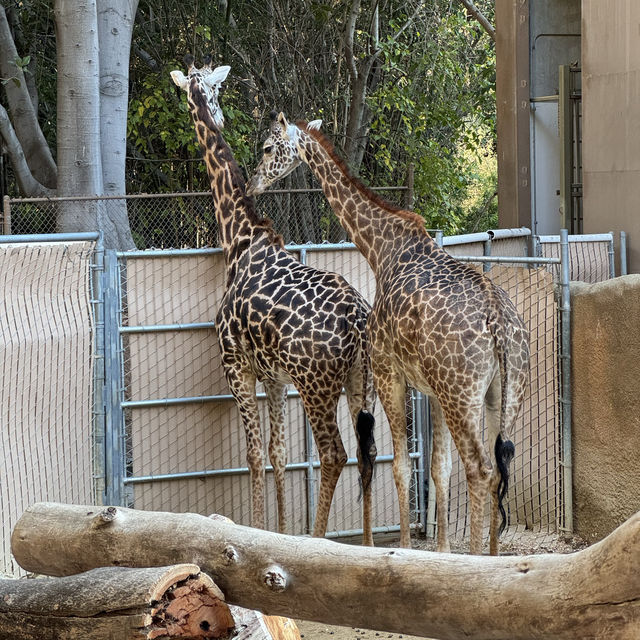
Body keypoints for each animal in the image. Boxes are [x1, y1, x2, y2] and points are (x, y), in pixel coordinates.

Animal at [171, 58, 380, 540]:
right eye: (214, 92)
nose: (219, 117)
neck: (239, 238)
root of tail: (358, 322)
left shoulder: (236, 366)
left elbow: (252, 454)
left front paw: (259, 530)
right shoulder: (275, 378)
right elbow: (278, 453)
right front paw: (280, 533)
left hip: (318, 386)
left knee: (335, 453)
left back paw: (320, 541)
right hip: (363, 383)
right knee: (369, 454)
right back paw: (369, 547)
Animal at [245, 111, 528, 556]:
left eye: (269, 147)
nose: (252, 183)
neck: (382, 250)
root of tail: (499, 325)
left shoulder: (388, 372)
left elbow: (399, 466)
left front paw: (408, 552)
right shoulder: (431, 390)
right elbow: (438, 467)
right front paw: (442, 553)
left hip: (463, 396)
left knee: (481, 469)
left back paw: (477, 558)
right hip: (505, 392)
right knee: (500, 464)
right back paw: (494, 561)